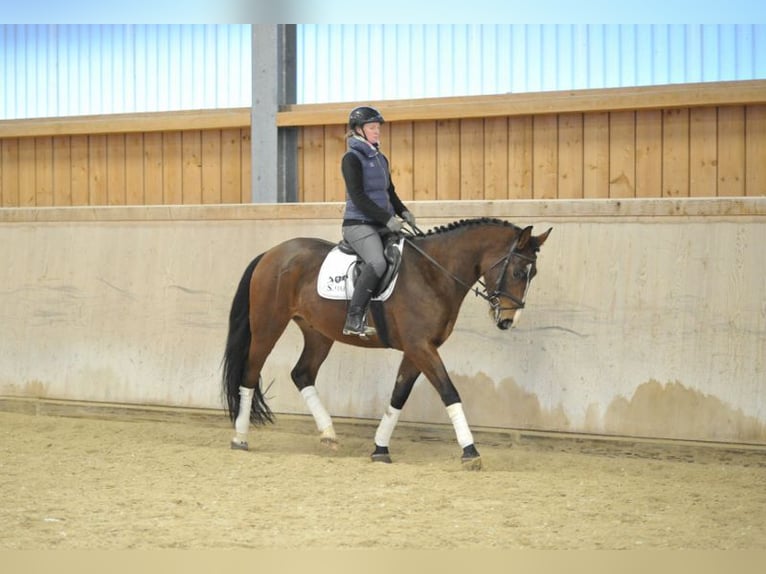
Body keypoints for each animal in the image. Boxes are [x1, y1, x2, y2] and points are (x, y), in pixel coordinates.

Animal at [222, 218, 552, 470]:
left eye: (533, 273)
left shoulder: (417, 349)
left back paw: (328, 434)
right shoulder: (421, 347)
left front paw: (380, 448)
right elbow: (449, 392)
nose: (507, 321)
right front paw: (470, 451)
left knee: (302, 373)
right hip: (268, 326)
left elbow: (399, 395)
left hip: (318, 333)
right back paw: (240, 438)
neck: (433, 273)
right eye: (518, 271)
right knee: (250, 374)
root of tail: (271, 253)